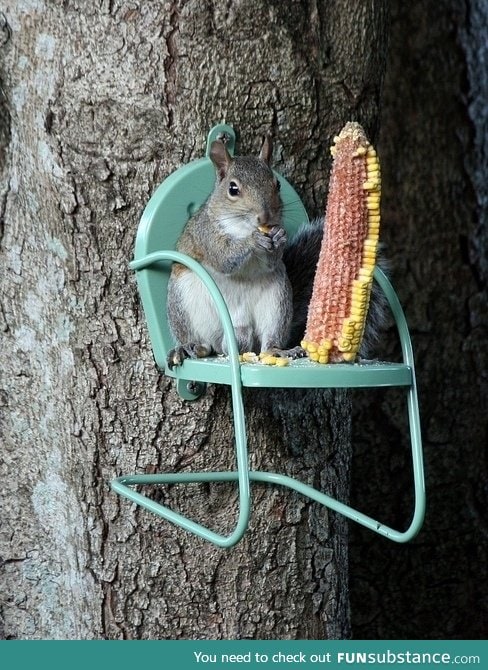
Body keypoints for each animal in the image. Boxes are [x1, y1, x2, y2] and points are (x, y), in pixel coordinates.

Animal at [167, 136, 386, 368]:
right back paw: (191, 346)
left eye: (277, 184)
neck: (241, 227)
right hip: (185, 300)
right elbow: (224, 257)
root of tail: (238, 334)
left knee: (267, 342)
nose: (265, 217)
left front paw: (279, 237)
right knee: (204, 343)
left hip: (276, 302)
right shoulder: (207, 235)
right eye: (233, 189)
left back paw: (277, 350)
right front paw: (252, 240)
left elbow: (271, 262)